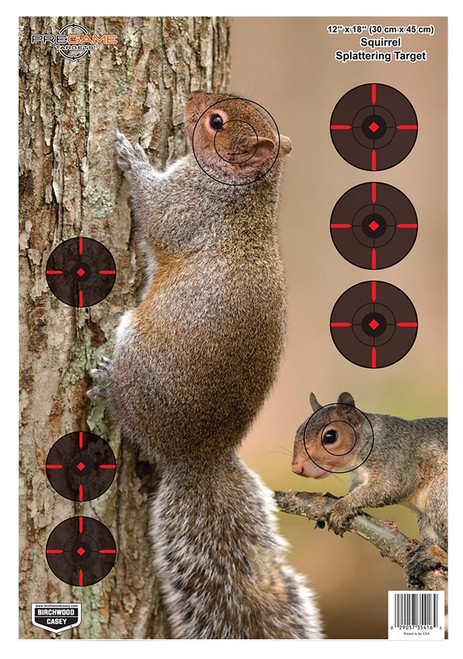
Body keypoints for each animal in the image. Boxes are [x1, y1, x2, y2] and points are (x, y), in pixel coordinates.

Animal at [90, 92, 322, 639]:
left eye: (217, 121)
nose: (192, 100)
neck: (247, 193)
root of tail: (199, 456)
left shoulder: (188, 206)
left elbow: (155, 213)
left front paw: (132, 158)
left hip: (139, 357)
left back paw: (106, 385)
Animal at [292, 391, 447, 586]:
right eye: (298, 430)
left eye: (330, 436)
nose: (296, 467)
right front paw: (337, 499)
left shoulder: (397, 460)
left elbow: (390, 487)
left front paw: (342, 507)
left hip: (441, 494)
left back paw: (436, 555)